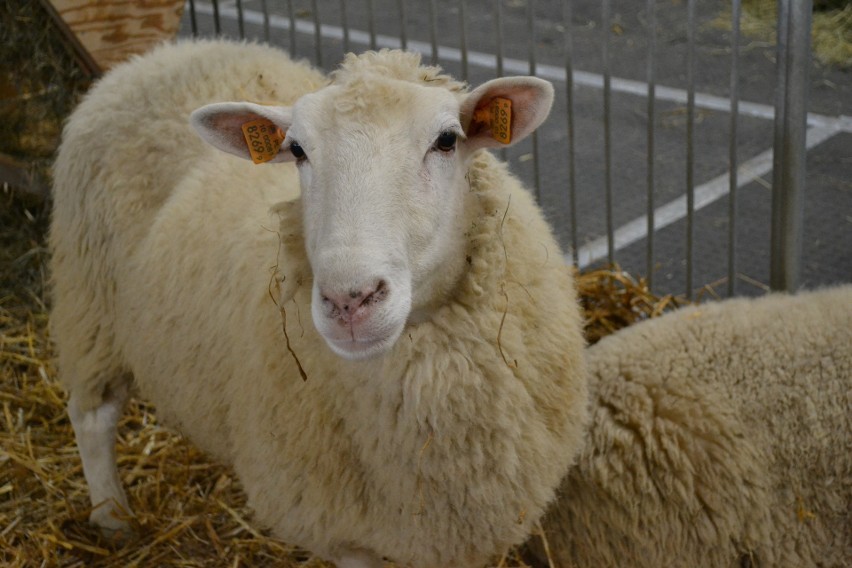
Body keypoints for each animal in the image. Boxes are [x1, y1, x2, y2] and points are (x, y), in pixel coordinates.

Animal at [50, 40, 588, 568]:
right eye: (297, 150)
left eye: (447, 141)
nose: (350, 300)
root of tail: (158, 55)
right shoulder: (342, 532)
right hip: (89, 301)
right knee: (92, 415)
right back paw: (112, 517)